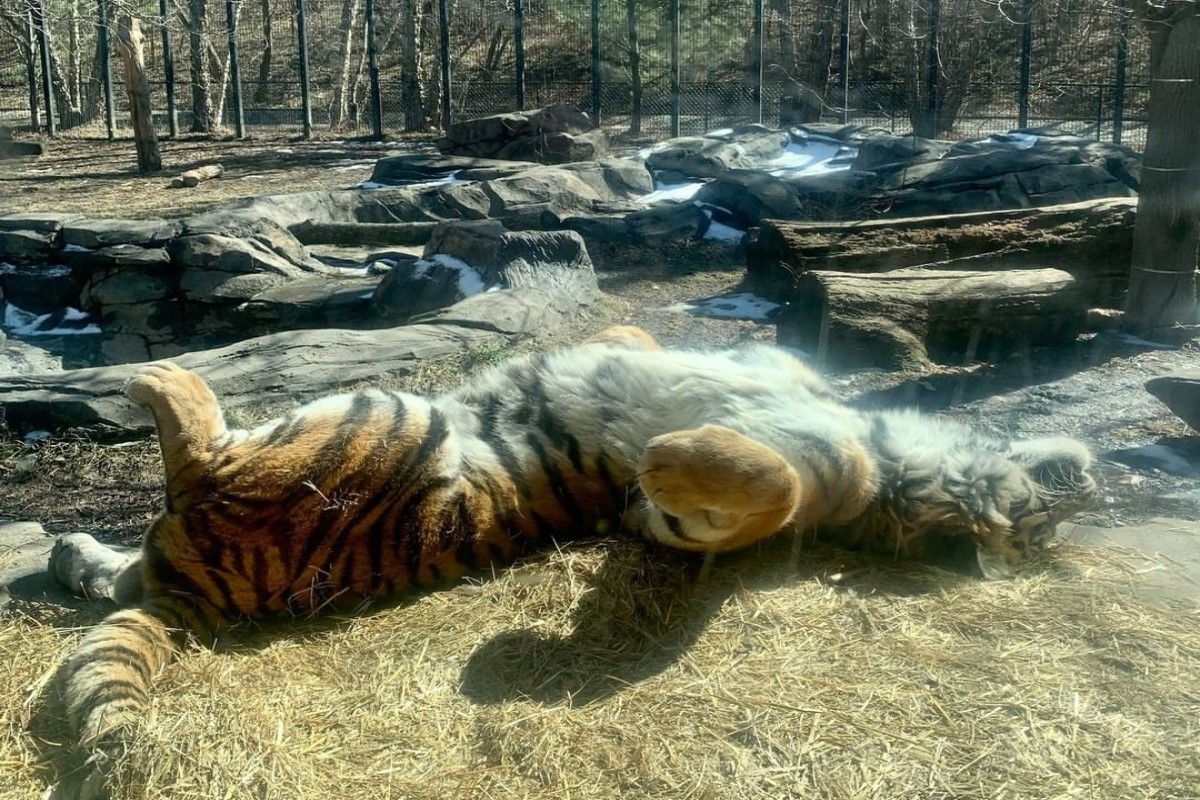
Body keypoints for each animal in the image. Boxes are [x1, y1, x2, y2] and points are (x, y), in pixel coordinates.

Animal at [46, 326, 1099, 796]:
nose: (1078, 486)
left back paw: (152, 376)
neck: (900, 478)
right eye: (1050, 512)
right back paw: (70, 545)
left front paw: (668, 452)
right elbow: (638, 342)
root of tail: (199, 596)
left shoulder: (725, 511)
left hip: (386, 421)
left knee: (198, 449)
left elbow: (767, 485)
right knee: (129, 568)